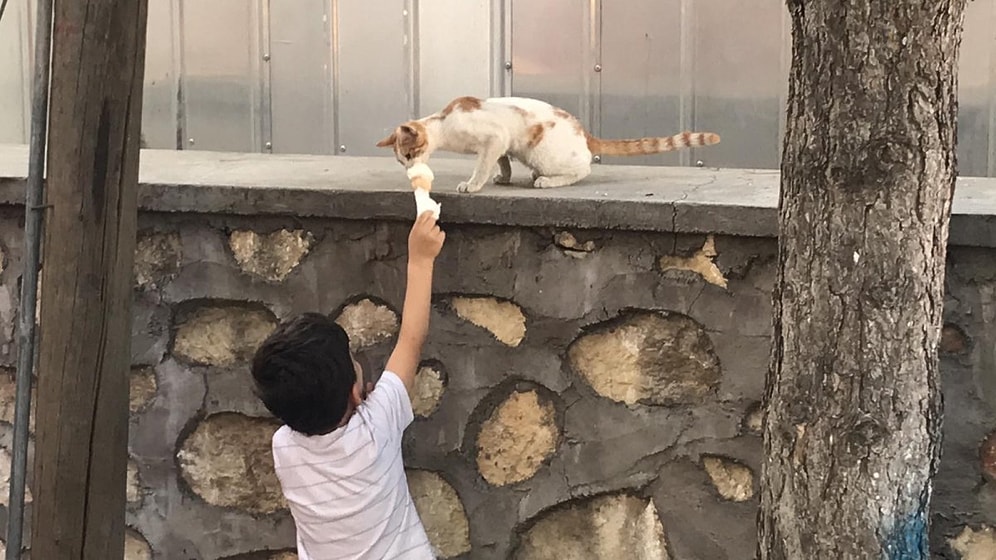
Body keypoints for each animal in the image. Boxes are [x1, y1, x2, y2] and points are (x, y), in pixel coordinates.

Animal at [378, 95, 720, 194]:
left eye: (409, 153)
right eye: (400, 160)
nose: (408, 169)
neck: (444, 124)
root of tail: (584, 132)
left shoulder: (494, 137)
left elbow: (483, 165)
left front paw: (473, 184)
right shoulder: (502, 144)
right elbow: (501, 161)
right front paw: (503, 177)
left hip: (542, 153)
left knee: (583, 169)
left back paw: (545, 180)